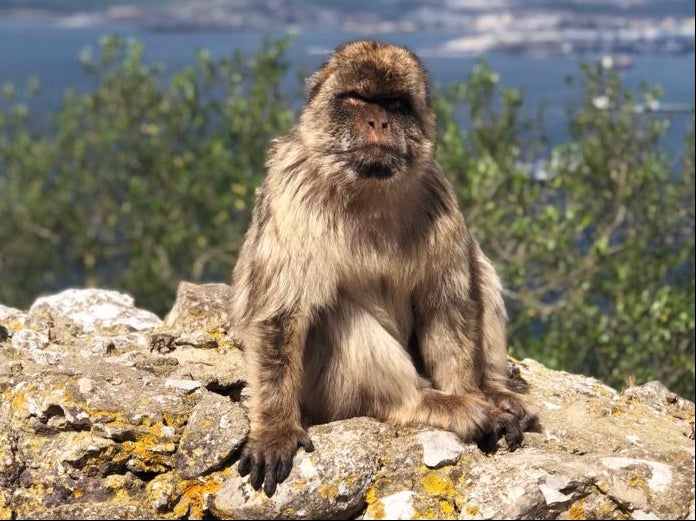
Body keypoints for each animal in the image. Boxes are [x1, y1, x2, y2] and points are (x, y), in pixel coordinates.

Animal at [230, 39, 540, 496]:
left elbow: (447, 303)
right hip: (323, 396)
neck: (369, 190)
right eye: (359, 98)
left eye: (394, 103)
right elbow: (281, 315)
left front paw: (474, 394)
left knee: (476, 265)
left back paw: (491, 393)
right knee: (333, 310)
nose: (377, 121)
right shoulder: (292, 189)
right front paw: (274, 430)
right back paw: (423, 403)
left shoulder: (437, 193)